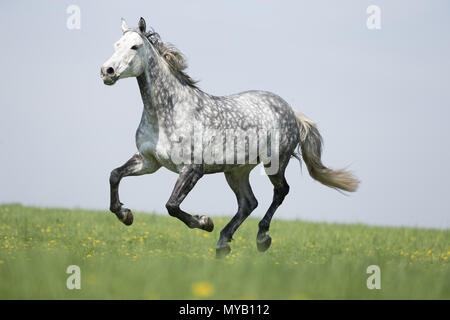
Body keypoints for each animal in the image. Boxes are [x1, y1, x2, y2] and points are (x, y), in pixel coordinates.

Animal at [101, 17, 358, 258]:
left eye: (134, 46)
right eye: (116, 45)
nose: (107, 71)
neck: (168, 113)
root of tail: (291, 111)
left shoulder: (193, 169)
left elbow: (172, 205)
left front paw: (205, 222)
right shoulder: (149, 161)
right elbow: (115, 175)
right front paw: (125, 215)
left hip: (274, 163)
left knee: (280, 191)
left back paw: (261, 237)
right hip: (236, 171)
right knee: (248, 202)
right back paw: (223, 243)